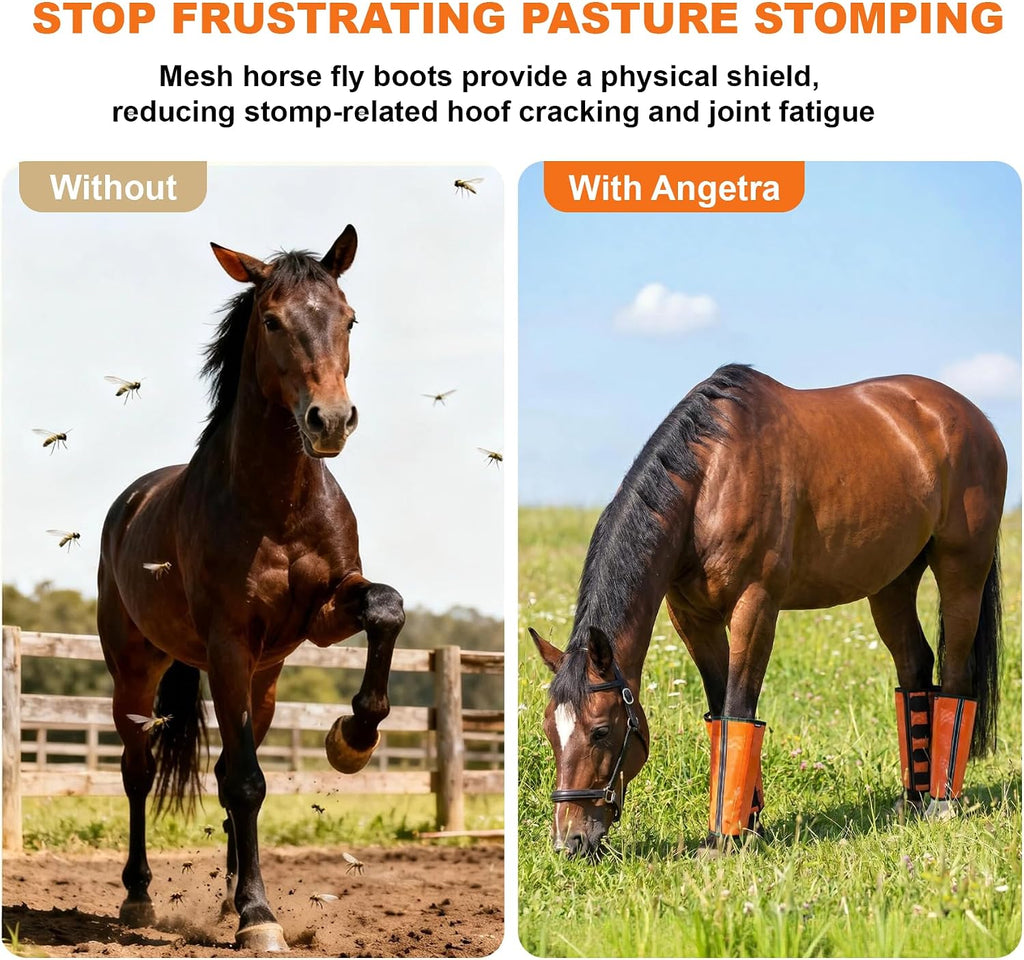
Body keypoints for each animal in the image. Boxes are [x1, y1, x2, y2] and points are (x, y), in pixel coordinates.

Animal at [97, 227, 405, 950]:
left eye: (349, 319)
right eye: (271, 321)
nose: (330, 421)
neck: (277, 505)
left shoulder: (321, 614)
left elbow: (386, 607)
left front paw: (354, 737)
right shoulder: (230, 645)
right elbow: (245, 784)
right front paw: (259, 919)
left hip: (264, 679)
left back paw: (227, 896)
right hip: (138, 673)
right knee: (140, 773)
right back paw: (141, 899)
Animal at [530, 364, 1005, 858]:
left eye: (601, 730)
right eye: (549, 731)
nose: (569, 841)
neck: (711, 480)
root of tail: (971, 417)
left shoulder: (755, 606)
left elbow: (739, 709)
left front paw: (724, 838)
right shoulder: (692, 619)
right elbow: (720, 713)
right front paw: (748, 822)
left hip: (962, 569)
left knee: (955, 677)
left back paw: (941, 802)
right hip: (891, 582)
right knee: (914, 666)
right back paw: (911, 798)